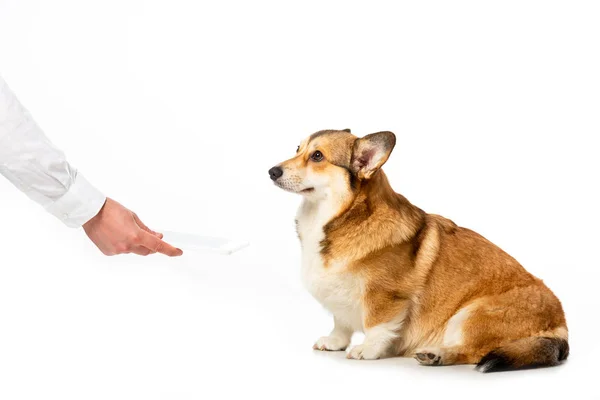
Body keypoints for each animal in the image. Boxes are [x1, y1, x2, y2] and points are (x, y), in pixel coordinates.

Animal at [270, 130, 568, 372]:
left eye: (317, 156)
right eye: (297, 148)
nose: (272, 171)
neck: (345, 217)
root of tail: (561, 325)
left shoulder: (385, 297)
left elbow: (377, 325)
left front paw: (367, 350)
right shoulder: (340, 299)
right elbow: (340, 322)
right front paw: (334, 341)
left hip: (470, 315)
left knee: (474, 352)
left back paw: (436, 354)